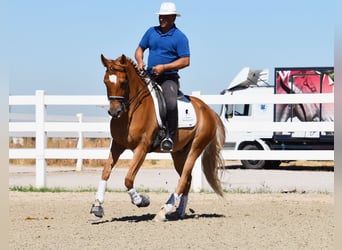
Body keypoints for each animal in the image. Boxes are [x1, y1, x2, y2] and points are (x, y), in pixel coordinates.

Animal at [90, 54, 227, 221]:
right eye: (106, 82)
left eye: (123, 82)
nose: (114, 112)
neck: (131, 113)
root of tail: (209, 110)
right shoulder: (117, 145)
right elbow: (105, 172)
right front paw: (97, 205)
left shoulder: (141, 148)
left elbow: (128, 178)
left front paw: (141, 200)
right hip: (179, 153)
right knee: (187, 179)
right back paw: (179, 211)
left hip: (196, 148)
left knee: (184, 178)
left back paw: (164, 210)